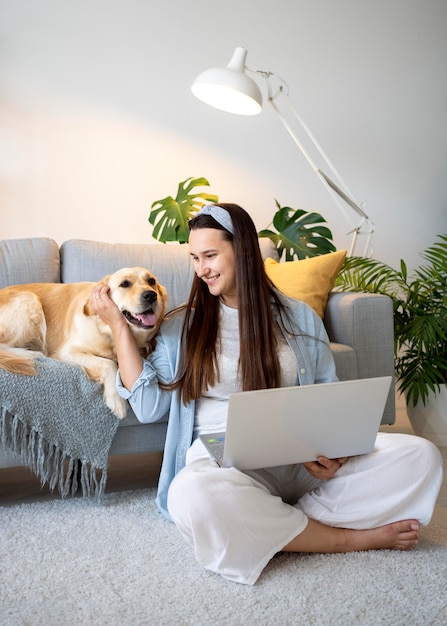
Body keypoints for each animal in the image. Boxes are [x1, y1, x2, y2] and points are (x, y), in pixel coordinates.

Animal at [0, 266, 167, 416]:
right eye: (125, 284)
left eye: (151, 281)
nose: (151, 295)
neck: (108, 330)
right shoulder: (67, 352)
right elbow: (109, 364)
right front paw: (117, 401)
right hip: (29, 301)